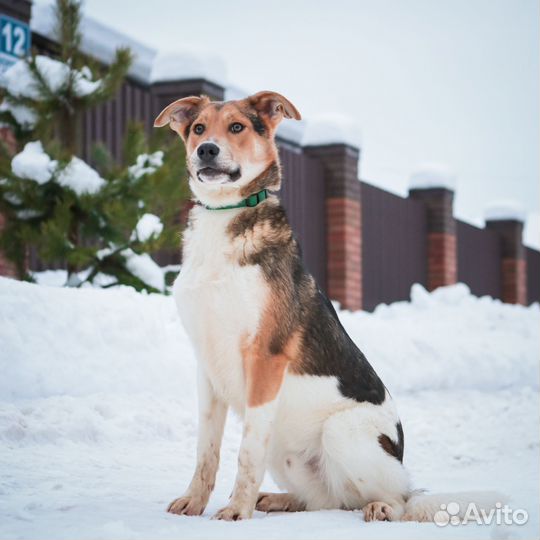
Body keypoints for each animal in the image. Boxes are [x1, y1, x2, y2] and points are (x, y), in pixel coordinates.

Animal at [154, 92, 500, 524]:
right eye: (199, 128)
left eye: (237, 127)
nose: (206, 150)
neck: (225, 218)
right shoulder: (207, 366)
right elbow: (207, 451)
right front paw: (194, 502)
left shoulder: (265, 358)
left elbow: (246, 453)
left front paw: (236, 510)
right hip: (286, 454)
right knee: (324, 500)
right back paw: (279, 500)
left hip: (343, 433)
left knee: (399, 501)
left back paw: (380, 506)